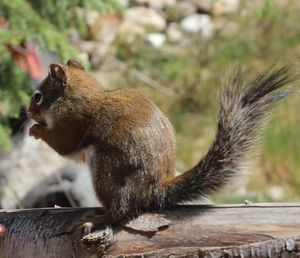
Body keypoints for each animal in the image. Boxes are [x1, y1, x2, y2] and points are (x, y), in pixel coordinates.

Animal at [27, 60, 296, 220]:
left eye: (38, 96)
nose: (28, 113)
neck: (80, 95)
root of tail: (154, 190)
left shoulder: (73, 121)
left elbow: (64, 143)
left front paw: (36, 130)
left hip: (106, 170)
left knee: (120, 211)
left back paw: (100, 216)